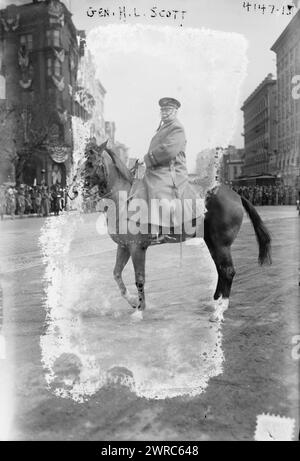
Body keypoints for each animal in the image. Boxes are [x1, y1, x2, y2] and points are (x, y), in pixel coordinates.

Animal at [80, 142, 272, 322]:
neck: (125, 199)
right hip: (212, 242)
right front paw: (134, 301)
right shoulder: (124, 246)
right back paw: (215, 302)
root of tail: (236, 195)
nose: (77, 188)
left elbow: (139, 279)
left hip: (221, 244)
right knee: (220, 269)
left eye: (90, 163)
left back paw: (219, 311)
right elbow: (117, 274)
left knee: (228, 271)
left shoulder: (137, 248)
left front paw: (139, 311)